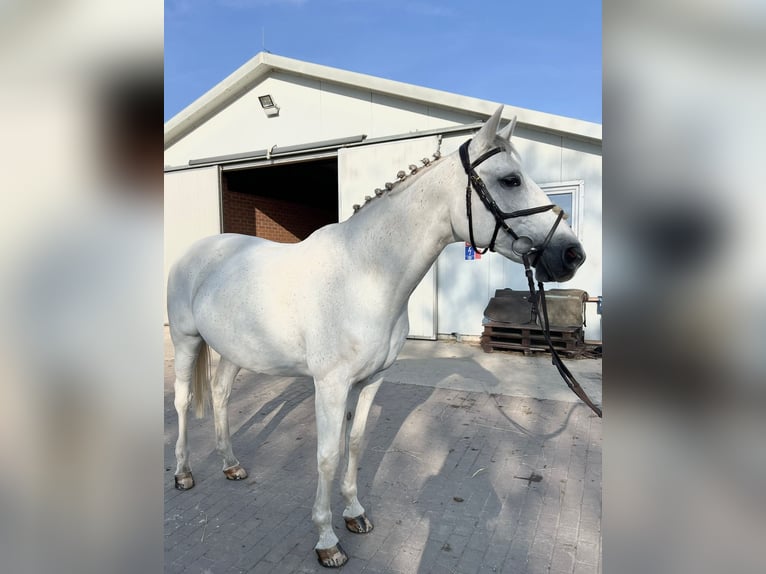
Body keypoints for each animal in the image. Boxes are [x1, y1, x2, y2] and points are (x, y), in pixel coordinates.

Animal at [170, 106, 588, 568]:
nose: (572, 254)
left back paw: (231, 464)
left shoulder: (371, 380)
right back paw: (184, 473)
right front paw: (327, 540)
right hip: (186, 341)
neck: (364, 274)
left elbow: (355, 443)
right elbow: (328, 455)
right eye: (510, 179)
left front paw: (354, 514)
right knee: (183, 401)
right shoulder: (331, 385)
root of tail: (197, 251)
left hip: (233, 351)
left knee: (221, 396)